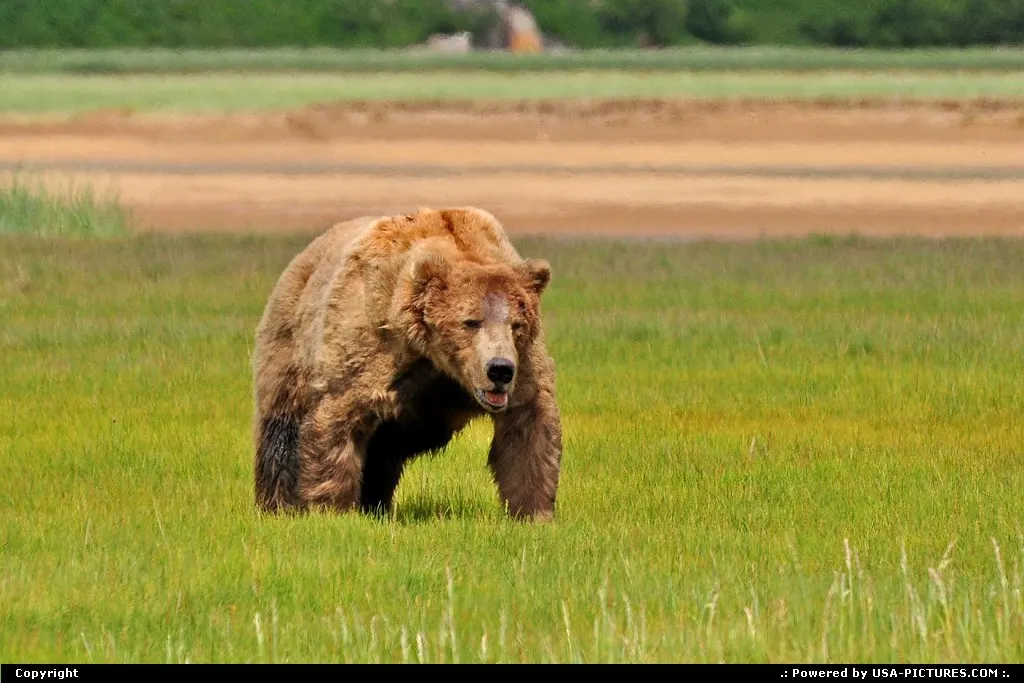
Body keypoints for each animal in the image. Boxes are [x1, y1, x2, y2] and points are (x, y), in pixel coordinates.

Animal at [252, 207, 562, 521]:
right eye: (471, 321)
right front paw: (331, 509)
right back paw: (277, 504)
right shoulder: (371, 347)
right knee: (281, 431)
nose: (499, 370)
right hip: (289, 344)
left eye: (517, 324)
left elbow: (527, 428)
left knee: (384, 451)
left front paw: (533, 513)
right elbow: (338, 419)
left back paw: (374, 503)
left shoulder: (523, 366)